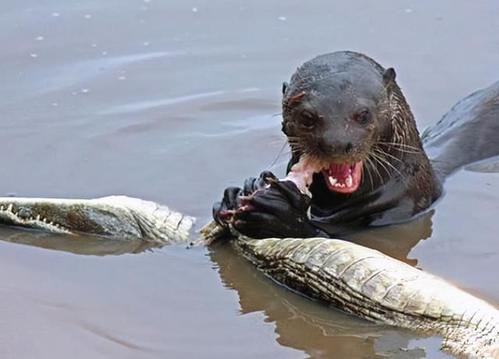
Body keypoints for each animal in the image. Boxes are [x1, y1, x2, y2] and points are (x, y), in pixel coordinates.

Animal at [213, 50, 499, 239]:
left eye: (363, 114)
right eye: (307, 117)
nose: (337, 143)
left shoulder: (402, 210)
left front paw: (281, 215)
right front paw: (236, 194)